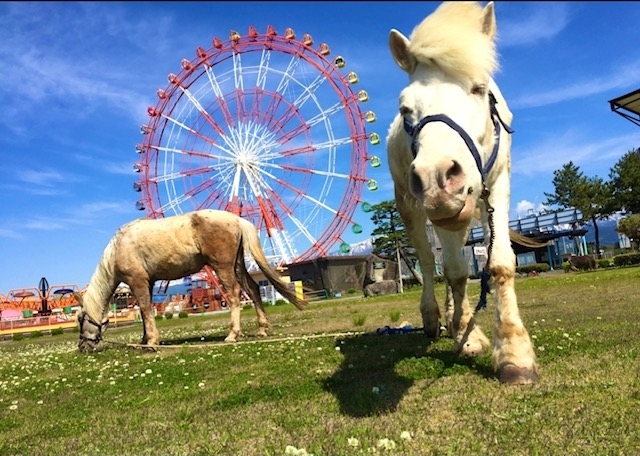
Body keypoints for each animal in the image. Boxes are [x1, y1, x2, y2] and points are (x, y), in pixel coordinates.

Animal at [74, 208, 304, 350]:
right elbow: (145, 311)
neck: (118, 247)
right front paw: (145, 339)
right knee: (254, 289)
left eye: (80, 320)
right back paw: (262, 328)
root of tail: (238, 219)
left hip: (222, 266)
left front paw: (151, 342)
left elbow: (146, 310)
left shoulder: (137, 281)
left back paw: (232, 334)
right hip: (237, 265)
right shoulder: (148, 283)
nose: (82, 347)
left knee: (234, 294)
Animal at [384, 1, 540, 382]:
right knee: (429, 263)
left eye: (480, 89)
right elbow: (453, 270)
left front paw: (514, 352)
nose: (438, 177)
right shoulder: (438, 208)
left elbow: (499, 263)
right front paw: (468, 336)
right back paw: (437, 319)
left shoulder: (497, 185)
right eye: (405, 108)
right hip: (410, 205)